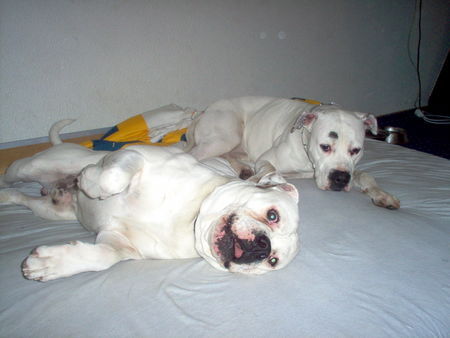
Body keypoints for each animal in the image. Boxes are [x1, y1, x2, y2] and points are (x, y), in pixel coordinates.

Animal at [0, 120, 302, 282]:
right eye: (273, 215)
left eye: (272, 260)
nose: (263, 246)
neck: (190, 220)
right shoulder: (135, 156)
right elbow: (112, 177)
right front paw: (89, 182)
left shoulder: (119, 243)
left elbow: (102, 257)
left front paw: (50, 264)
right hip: (33, 166)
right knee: (13, 174)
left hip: (50, 211)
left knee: (20, 197)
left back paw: (12, 197)